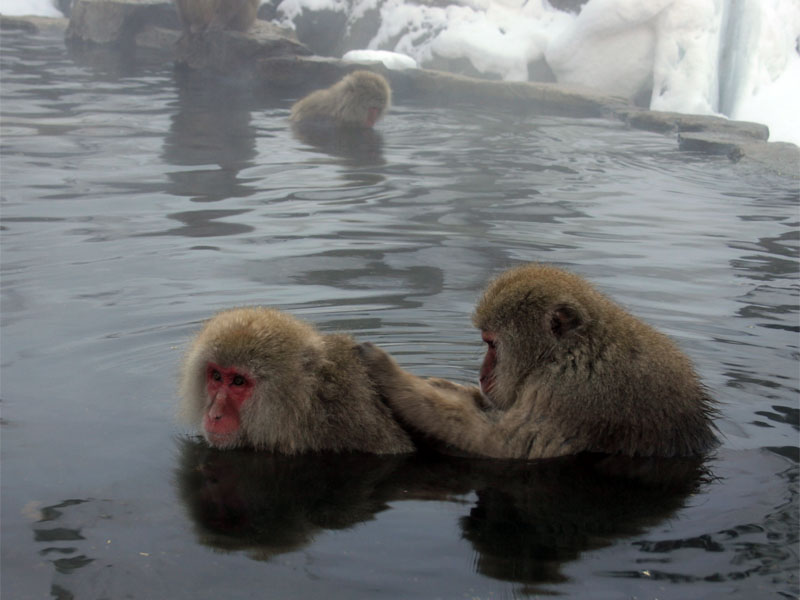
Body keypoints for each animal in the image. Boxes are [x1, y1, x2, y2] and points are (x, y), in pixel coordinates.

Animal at [362, 264, 720, 460]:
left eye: (491, 344)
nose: (482, 375)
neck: (570, 352)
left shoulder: (571, 390)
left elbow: (506, 446)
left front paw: (388, 373)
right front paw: (444, 387)